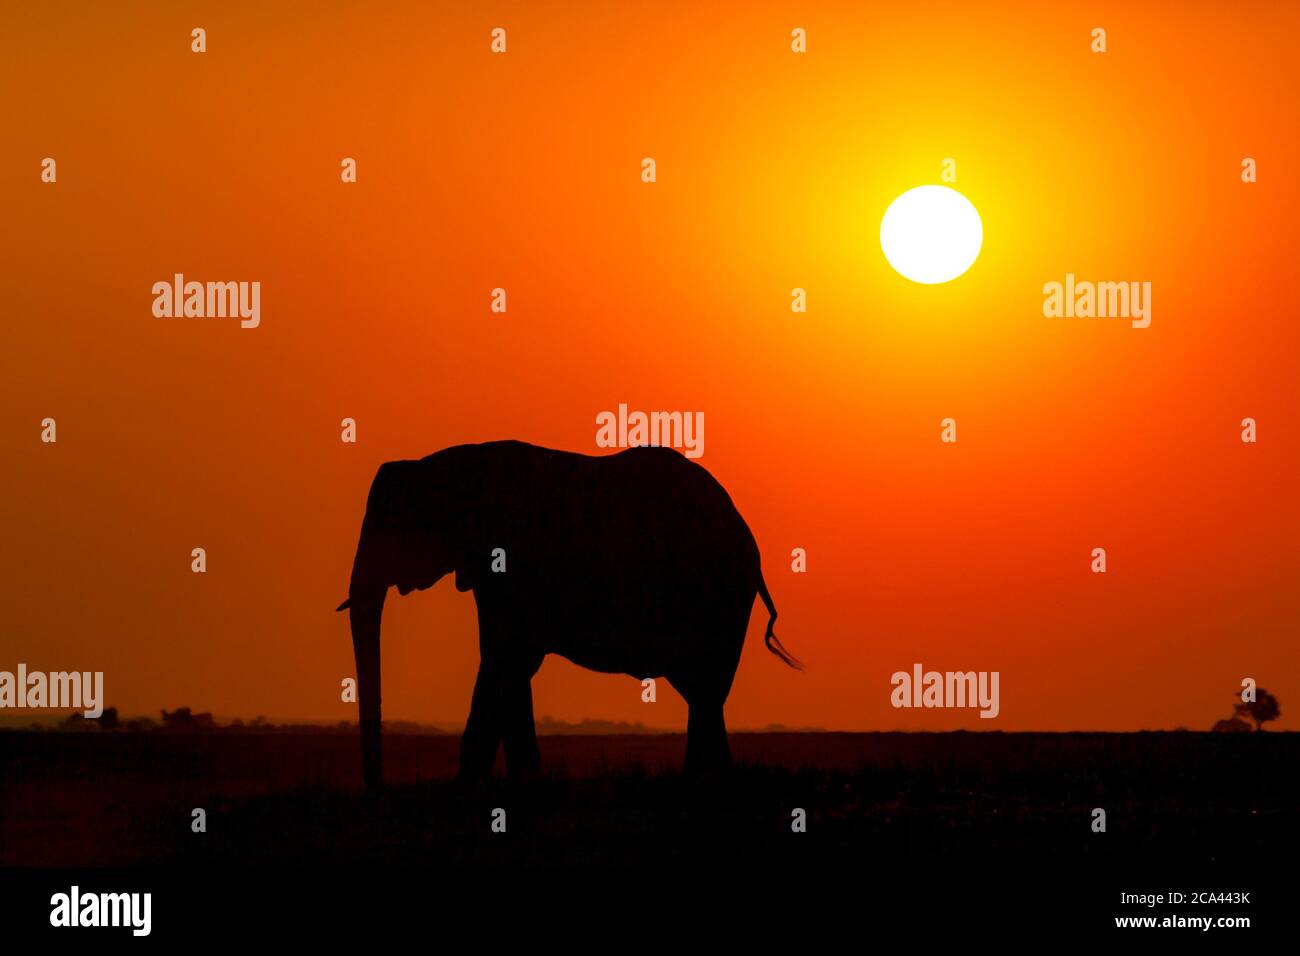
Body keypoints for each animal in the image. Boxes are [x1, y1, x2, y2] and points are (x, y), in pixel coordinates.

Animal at [335, 437, 795, 790]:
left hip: (717, 596)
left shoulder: (512, 563)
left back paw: (702, 782)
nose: (377, 790)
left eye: (392, 527)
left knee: (703, 687)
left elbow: (505, 658)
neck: (447, 463)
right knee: (704, 691)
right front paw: (515, 782)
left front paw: (476, 787)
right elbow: (509, 663)